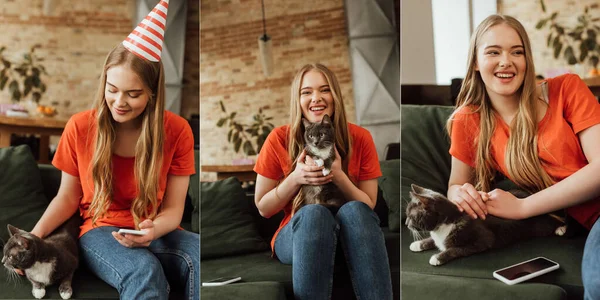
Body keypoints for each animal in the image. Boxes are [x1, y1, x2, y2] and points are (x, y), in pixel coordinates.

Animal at [406, 184, 564, 266]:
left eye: (411, 217)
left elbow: (456, 249)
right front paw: (418, 244)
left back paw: (561, 228)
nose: (406, 224)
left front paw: (438, 257)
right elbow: (433, 240)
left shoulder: (483, 239)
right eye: (406, 214)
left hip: (539, 222)